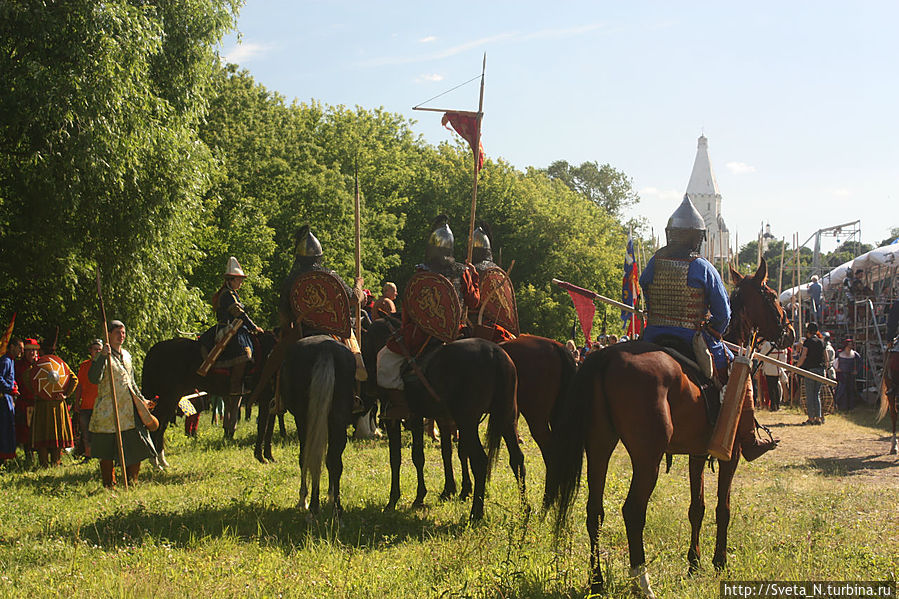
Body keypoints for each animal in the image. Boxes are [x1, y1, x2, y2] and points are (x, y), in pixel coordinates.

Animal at [142, 332, 278, 464]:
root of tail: (155, 348)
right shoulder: (265, 398)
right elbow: (263, 427)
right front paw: (261, 457)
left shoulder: (272, 400)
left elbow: (269, 429)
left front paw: (270, 457)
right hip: (168, 397)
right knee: (157, 424)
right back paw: (156, 462)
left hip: (172, 398)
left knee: (161, 425)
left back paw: (162, 461)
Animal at [280, 336, 356, 516]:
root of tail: (325, 348)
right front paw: (329, 496)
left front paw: (303, 500)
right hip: (336, 420)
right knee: (333, 461)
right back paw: (335, 505)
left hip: (304, 419)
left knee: (308, 457)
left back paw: (311, 503)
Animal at [540, 260, 796, 596]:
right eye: (772, 296)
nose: (790, 332)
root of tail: (604, 358)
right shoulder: (731, 455)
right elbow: (722, 508)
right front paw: (719, 562)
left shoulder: (697, 454)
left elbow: (697, 507)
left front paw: (694, 563)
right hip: (647, 456)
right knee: (633, 510)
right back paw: (642, 581)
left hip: (599, 445)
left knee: (594, 510)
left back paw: (596, 581)